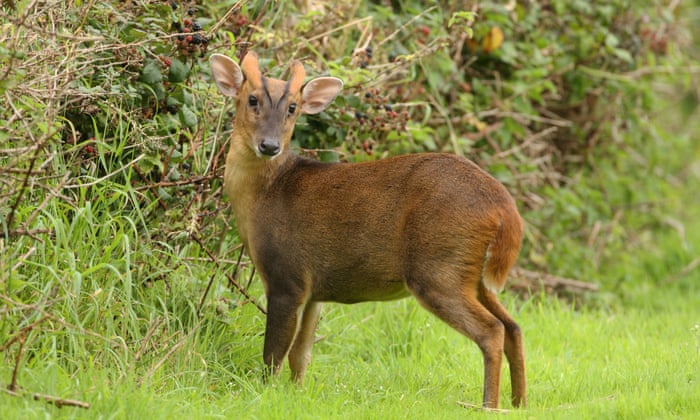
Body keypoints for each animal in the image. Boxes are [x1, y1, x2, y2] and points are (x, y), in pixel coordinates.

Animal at [209, 51, 526, 409]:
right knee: (513, 327)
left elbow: (273, 355)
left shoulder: (286, 277)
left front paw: (265, 394)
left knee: (492, 330)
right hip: (472, 276)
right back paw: (520, 403)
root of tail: (505, 210)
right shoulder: (315, 288)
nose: (269, 146)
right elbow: (301, 354)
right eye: (252, 99)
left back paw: (489, 406)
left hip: (437, 268)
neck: (263, 196)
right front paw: (298, 393)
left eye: (292, 107)